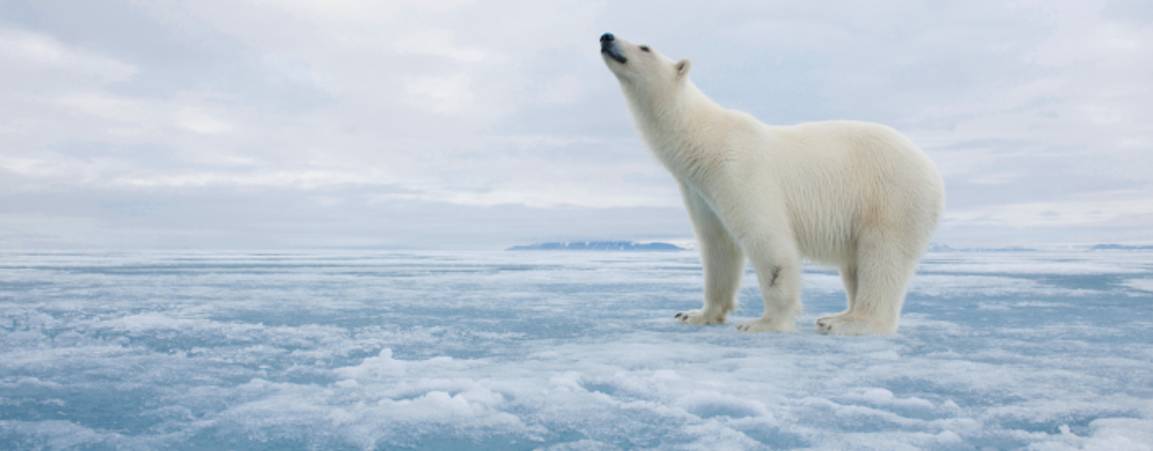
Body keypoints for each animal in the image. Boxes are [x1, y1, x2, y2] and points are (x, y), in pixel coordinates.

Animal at [599, 32, 940, 334]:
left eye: (645, 46)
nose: (606, 36)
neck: (707, 142)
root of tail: (932, 171)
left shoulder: (740, 172)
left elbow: (767, 241)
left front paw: (762, 323)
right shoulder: (700, 190)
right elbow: (717, 246)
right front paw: (696, 314)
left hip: (891, 197)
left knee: (882, 257)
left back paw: (848, 322)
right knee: (856, 265)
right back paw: (838, 314)